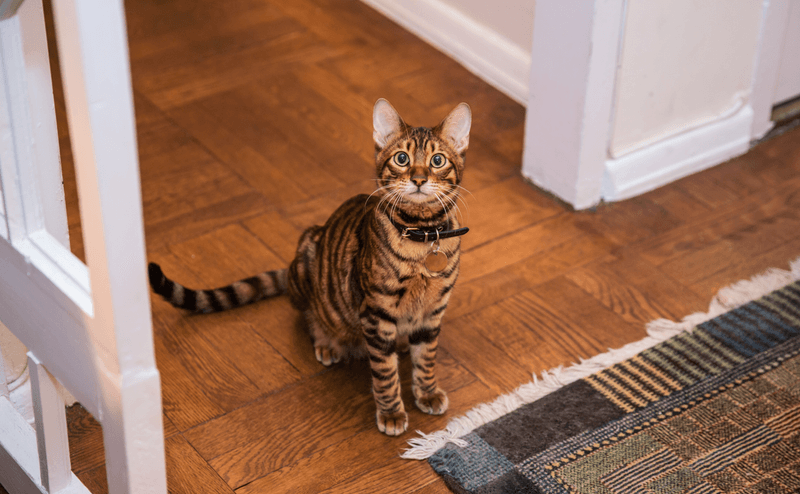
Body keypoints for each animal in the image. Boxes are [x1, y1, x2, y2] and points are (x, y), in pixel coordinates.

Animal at [148, 97, 472, 436]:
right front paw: (392, 412)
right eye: (401, 158)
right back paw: (328, 343)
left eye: (437, 160)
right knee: (309, 316)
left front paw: (427, 393)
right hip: (308, 260)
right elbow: (384, 373)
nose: (419, 179)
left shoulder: (432, 312)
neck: (424, 237)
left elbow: (427, 360)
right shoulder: (376, 313)